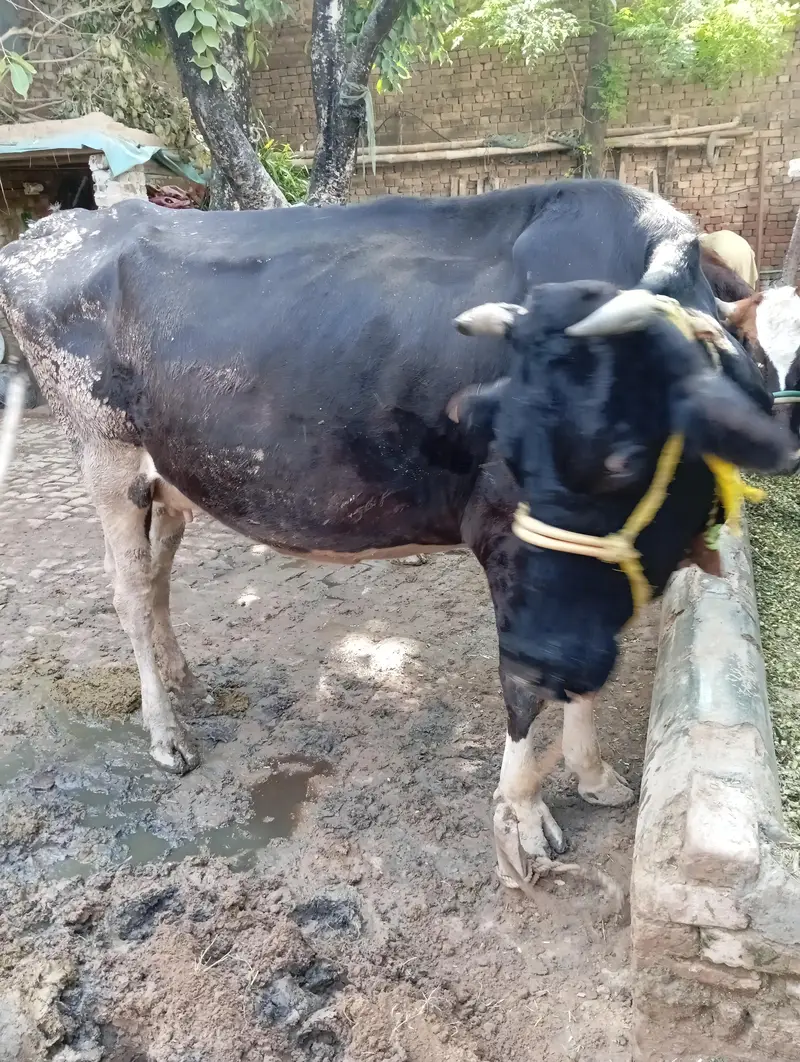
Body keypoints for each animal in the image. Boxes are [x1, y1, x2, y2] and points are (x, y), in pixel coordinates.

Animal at [0, 179, 793, 889]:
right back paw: (168, 736)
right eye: (511, 445)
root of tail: (52, 229)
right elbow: (526, 690)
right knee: (130, 593)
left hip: (169, 476)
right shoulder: (509, 544)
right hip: (103, 452)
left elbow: (585, 673)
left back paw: (184, 680)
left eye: (625, 452)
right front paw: (524, 817)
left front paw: (593, 774)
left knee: (159, 573)